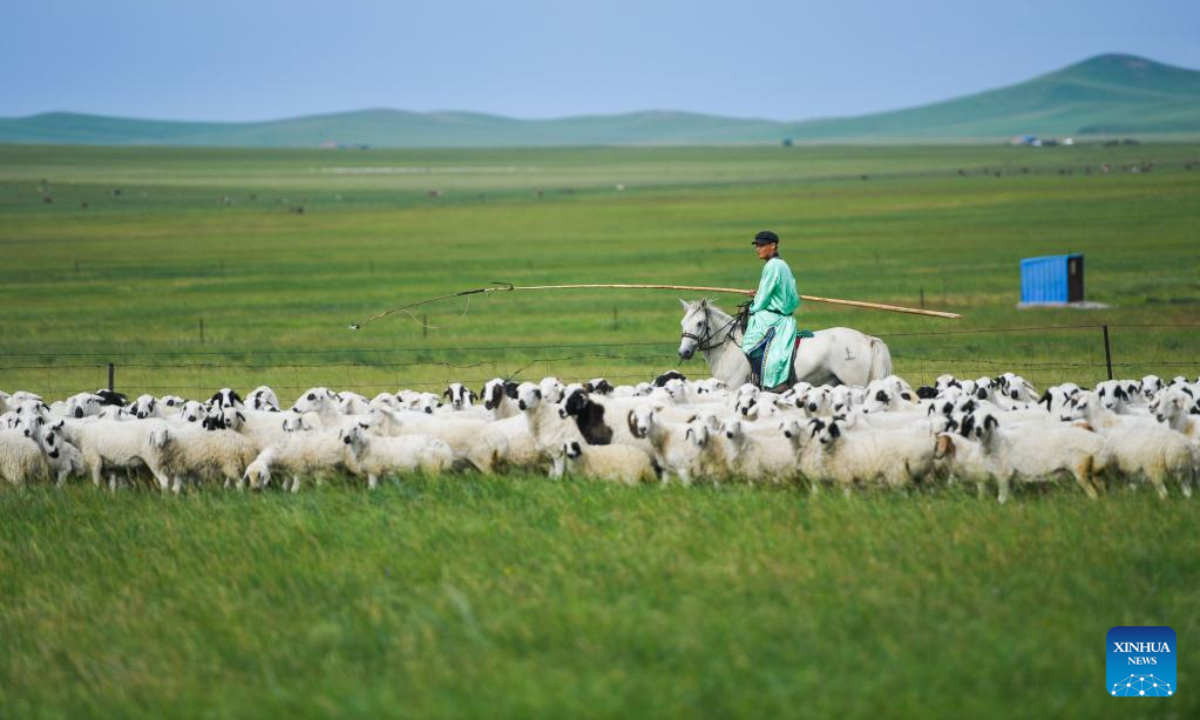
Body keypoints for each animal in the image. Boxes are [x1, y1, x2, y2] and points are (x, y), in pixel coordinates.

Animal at [676, 297, 892, 388]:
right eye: (683, 323)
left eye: (700, 323)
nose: (683, 352)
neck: (728, 347)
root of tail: (868, 339)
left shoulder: (734, 387)